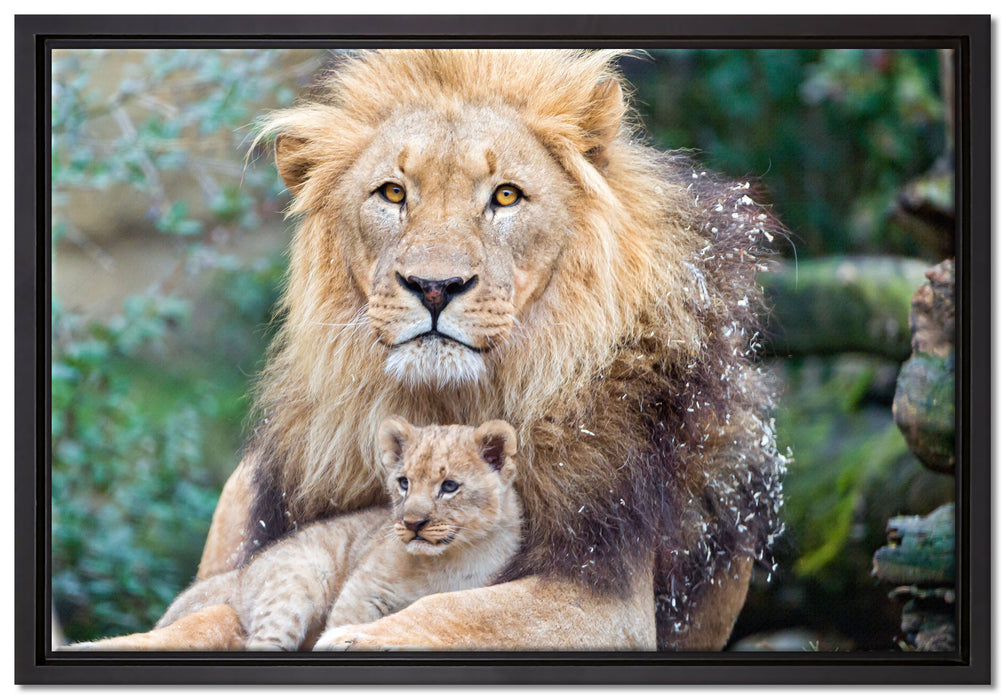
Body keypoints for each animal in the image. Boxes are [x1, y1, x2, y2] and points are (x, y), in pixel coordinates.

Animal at [88, 49, 786, 652]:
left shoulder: (608, 596)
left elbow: (458, 610)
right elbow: (208, 616)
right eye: (393, 193)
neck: (442, 404)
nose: (433, 286)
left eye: (506, 195)